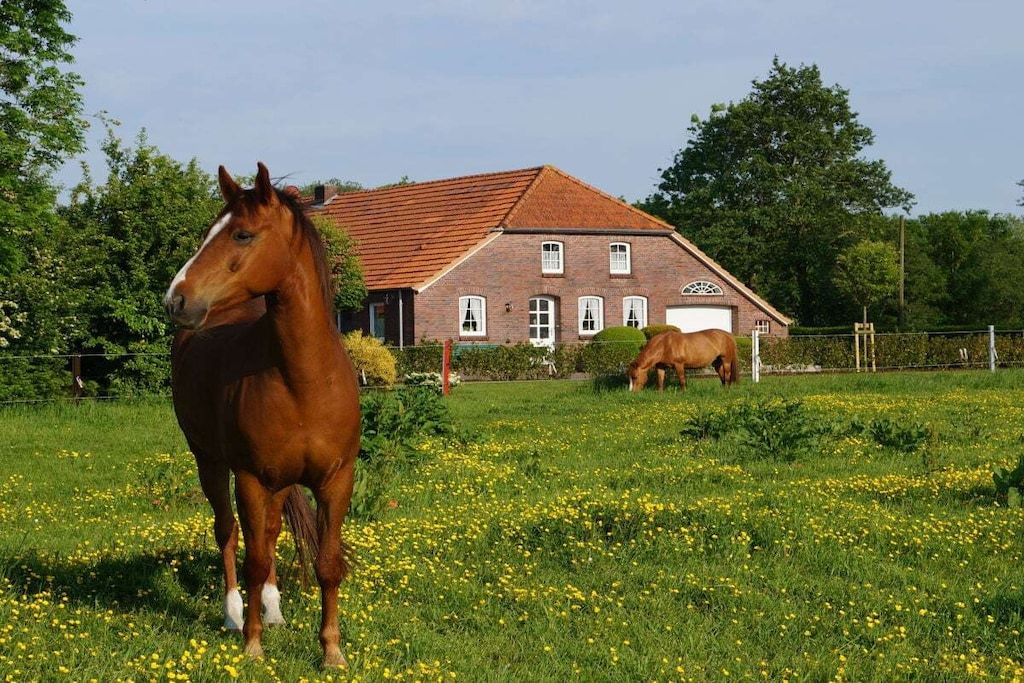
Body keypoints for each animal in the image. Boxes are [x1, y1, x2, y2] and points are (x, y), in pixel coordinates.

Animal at [164, 163, 360, 668]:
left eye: (242, 234)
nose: (176, 300)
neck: (304, 379)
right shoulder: (251, 478)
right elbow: (251, 558)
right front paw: (252, 647)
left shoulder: (336, 480)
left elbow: (326, 562)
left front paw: (331, 651)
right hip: (212, 464)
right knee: (229, 533)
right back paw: (235, 614)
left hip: (281, 480)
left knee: (269, 533)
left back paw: (273, 608)